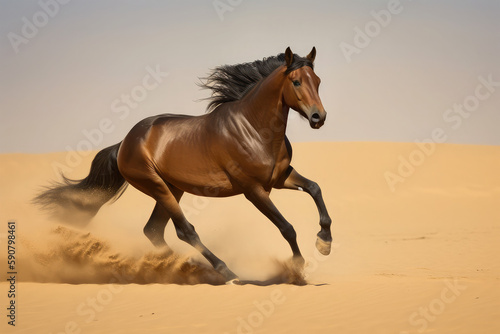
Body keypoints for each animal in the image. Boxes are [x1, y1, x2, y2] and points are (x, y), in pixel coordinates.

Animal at [35, 47, 332, 284]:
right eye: (296, 82)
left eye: (317, 81)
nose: (319, 117)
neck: (255, 129)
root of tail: (125, 143)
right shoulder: (253, 190)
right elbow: (286, 227)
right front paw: (298, 267)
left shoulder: (280, 178)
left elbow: (315, 188)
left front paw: (324, 242)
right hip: (157, 186)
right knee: (185, 230)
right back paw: (220, 271)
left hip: (171, 188)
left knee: (154, 230)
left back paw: (177, 267)